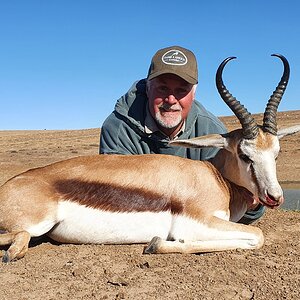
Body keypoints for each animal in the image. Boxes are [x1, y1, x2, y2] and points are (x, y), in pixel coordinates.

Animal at [0, 55, 300, 262]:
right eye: (244, 154)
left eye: (276, 153)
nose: (275, 197)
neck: (216, 179)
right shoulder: (197, 222)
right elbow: (257, 236)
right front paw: (157, 244)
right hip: (38, 224)